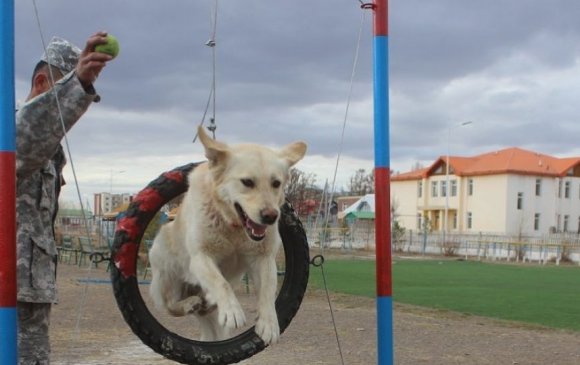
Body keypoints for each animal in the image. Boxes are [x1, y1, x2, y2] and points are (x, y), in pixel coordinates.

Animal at [147, 126, 306, 342]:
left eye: (276, 183)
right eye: (247, 182)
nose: (270, 216)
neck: (234, 228)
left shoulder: (263, 258)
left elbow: (266, 291)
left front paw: (269, 324)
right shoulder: (200, 257)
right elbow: (220, 282)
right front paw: (232, 310)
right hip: (165, 263)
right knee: (170, 305)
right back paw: (190, 303)